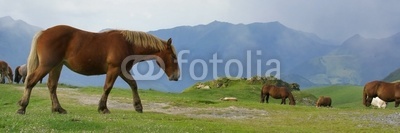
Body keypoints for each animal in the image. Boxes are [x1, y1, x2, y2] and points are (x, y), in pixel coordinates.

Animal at [16, 25, 180, 114]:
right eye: (173, 56)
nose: (176, 76)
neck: (128, 44)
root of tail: (44, 32)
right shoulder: (114, 70)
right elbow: (107, 87)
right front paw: (103, 108)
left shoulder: (122, 71)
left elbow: (133, 85)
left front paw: (138, 106)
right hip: (47, 65)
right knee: (31, 81)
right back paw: (22, 107)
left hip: (56, 66)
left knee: (52, 86)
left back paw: (58, 109)